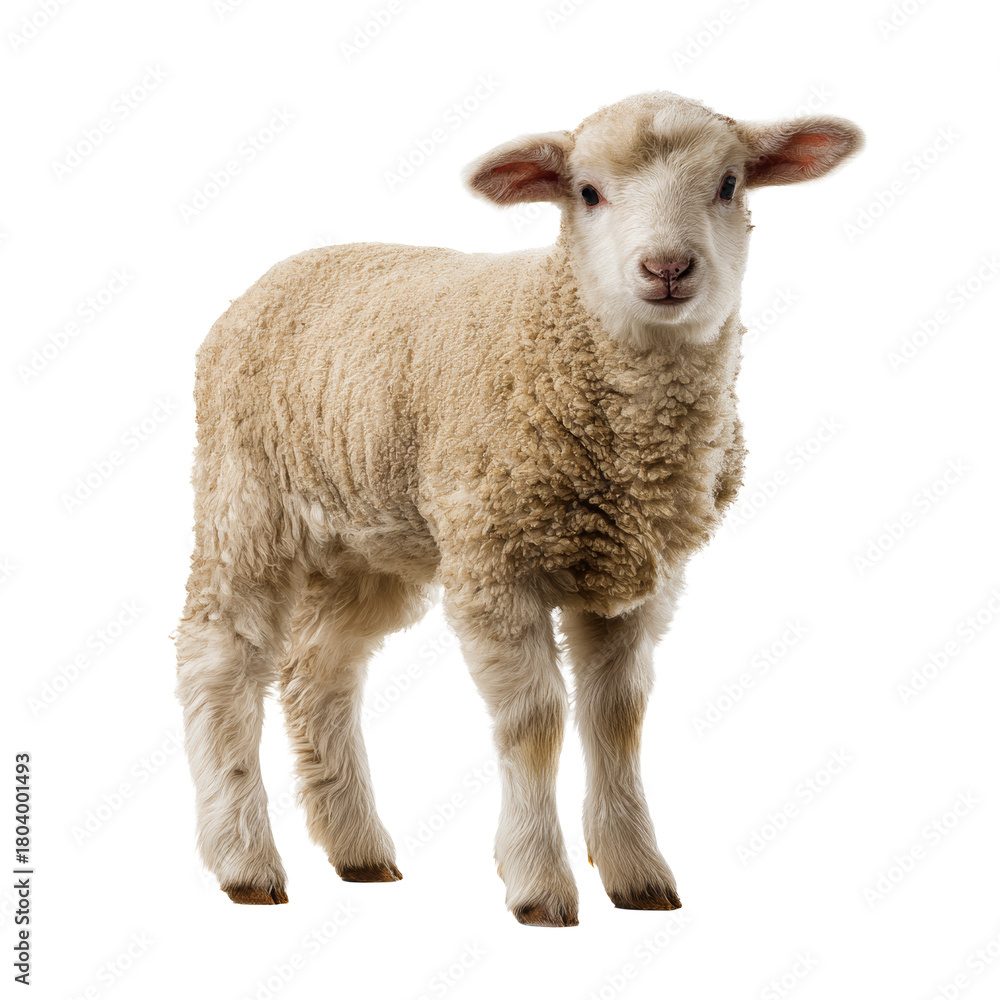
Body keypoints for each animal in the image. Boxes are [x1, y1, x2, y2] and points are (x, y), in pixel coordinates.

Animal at [175, 90, 863, 926]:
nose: (666, 269)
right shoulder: (493, 561)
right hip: (246, 504)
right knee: (219, 660)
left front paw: (637, 875)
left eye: (729, 184)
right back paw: (244, 860)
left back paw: (359, 850)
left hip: (372, 543)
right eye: (588, 193)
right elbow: (536, 723)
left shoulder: (637, 581)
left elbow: (618, 718)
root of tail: (280, 272)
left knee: (319, 671)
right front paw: (539, 885)